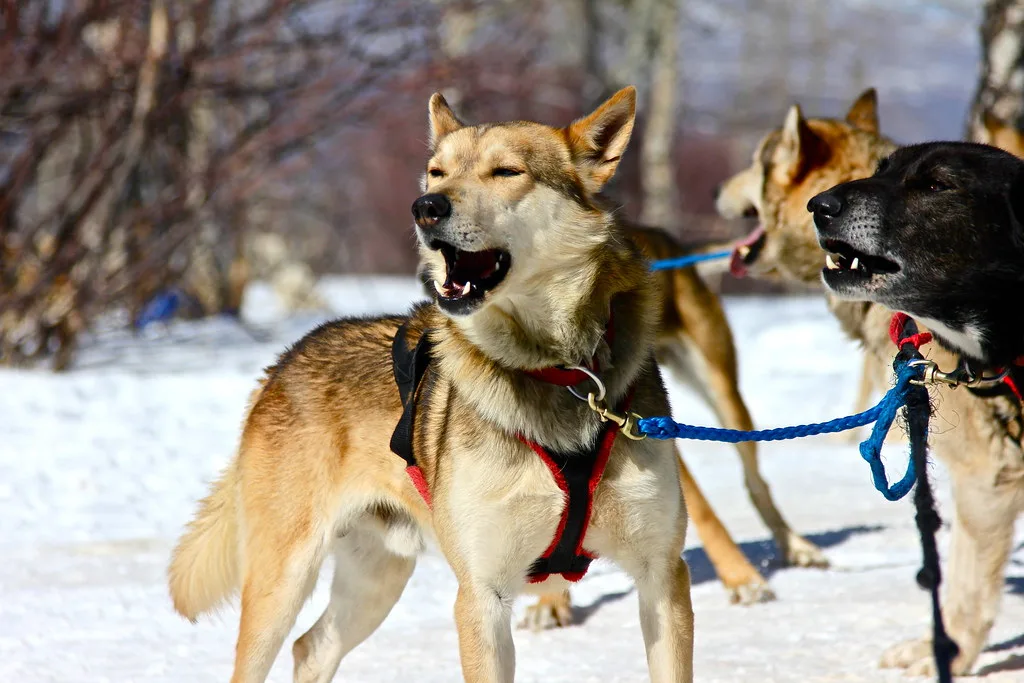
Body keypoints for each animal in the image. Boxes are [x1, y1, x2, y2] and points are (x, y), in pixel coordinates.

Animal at [169, 89, 696, 683]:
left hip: (376, 578)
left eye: (506, 171)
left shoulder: (661, 576)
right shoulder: (482, 595)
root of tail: (280, 366)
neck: (553, 368)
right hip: (282, 579)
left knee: (312, 647)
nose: (425, 207)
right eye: (435, 172)